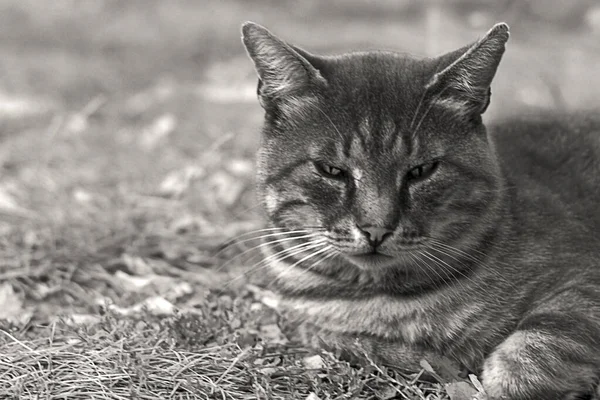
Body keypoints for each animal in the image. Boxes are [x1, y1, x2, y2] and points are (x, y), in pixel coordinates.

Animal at [240, 21, 600, 400]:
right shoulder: (301, 322)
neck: (384, 298)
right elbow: (341, 339)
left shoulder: (583, 281)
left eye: (421, 171)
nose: (376, 228)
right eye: (331, 170)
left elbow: (538, 347)